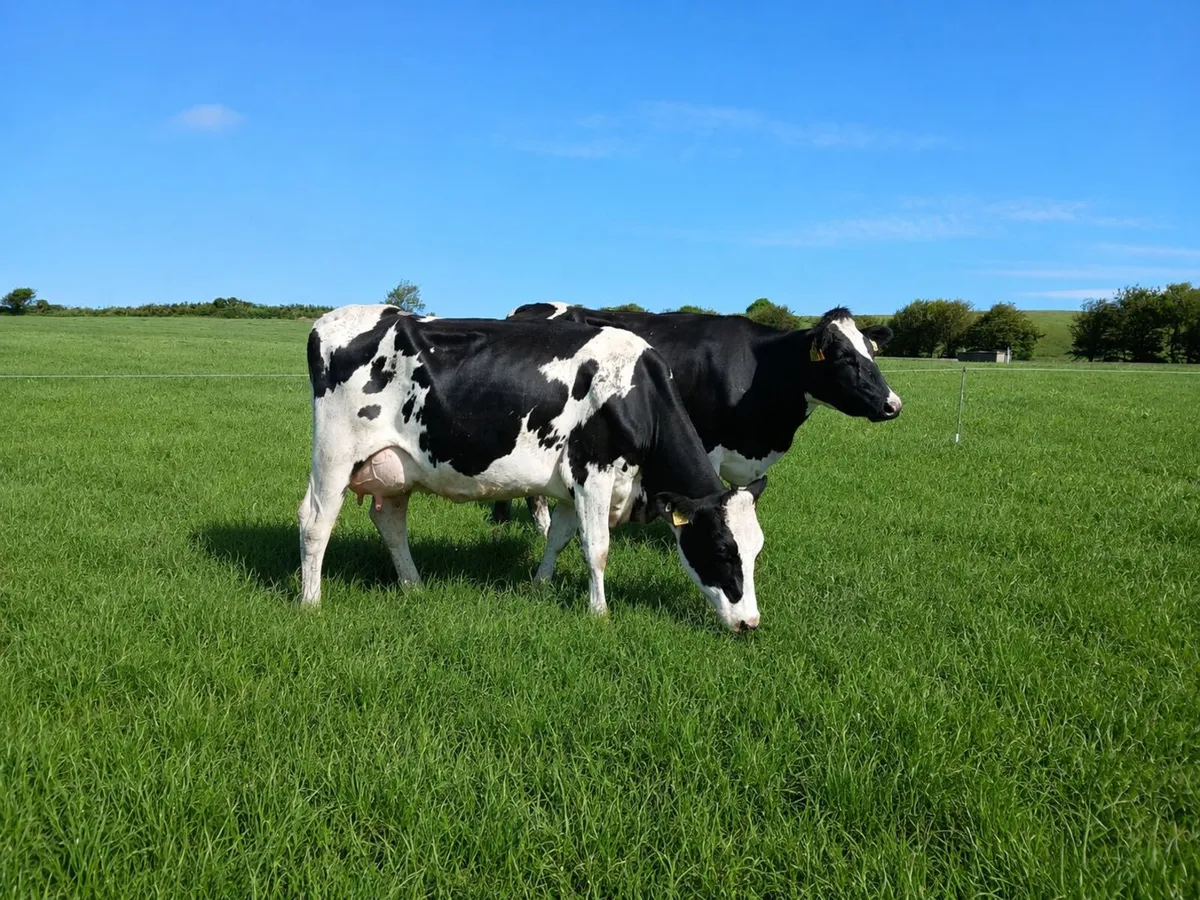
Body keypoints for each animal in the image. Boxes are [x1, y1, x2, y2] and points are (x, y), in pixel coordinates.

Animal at [298, 305, 769, 632]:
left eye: (756, 552)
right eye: (723, 550)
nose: (749, 623)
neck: (637, 393)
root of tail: (332, 319)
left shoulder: (572, 484)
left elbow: (558, 538)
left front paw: (541, 584)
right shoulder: (594, 473)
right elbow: (596, 548)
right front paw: (599, 613)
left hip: (398, 466)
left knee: (390, 523)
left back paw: (413, 585)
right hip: (335, 455)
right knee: (315, 522)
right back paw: (310, 601)